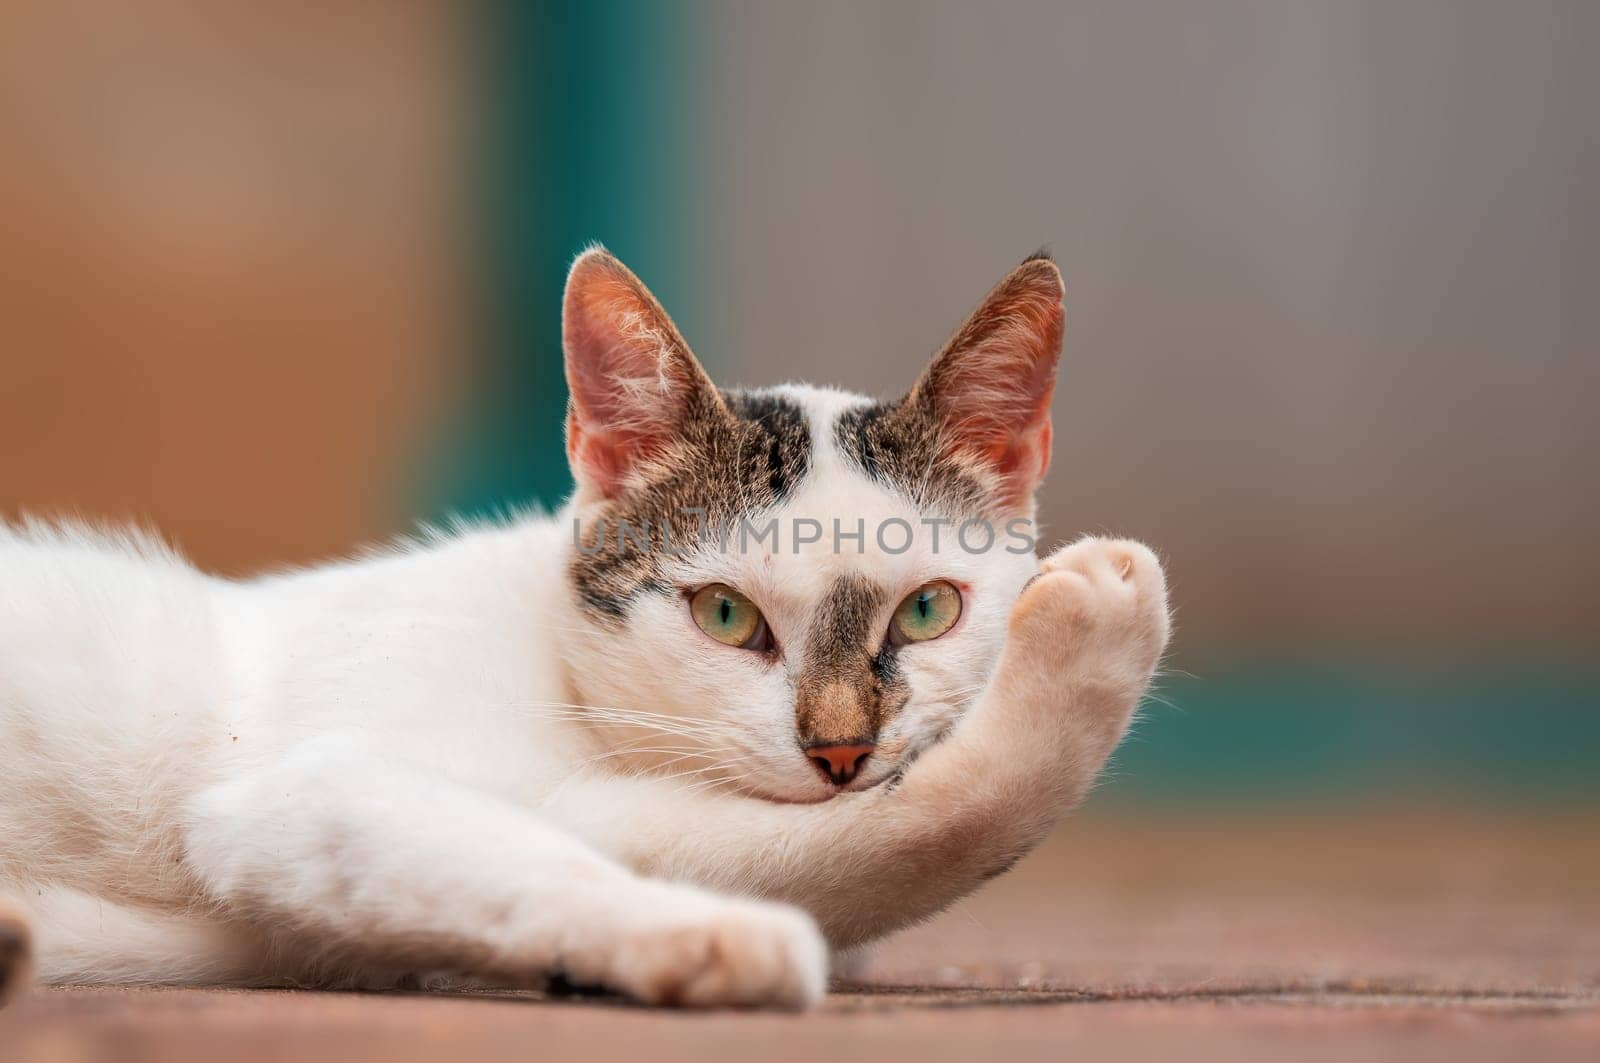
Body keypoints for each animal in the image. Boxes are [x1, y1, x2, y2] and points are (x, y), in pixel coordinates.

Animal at [3, 246, 1177, 1005]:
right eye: (724, 614)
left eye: (928, 609)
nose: (841, 747)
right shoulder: (302, 791)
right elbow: (911, 829)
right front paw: (712, 938)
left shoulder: (609, 809)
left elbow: (821, 845)